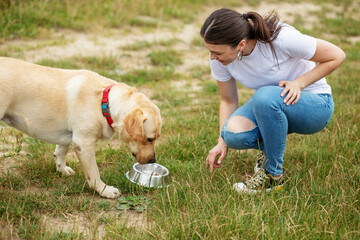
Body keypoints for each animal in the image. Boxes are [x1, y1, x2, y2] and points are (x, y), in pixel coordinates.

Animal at [0, 56, 161, 199]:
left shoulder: (68, 136)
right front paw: (105, 190)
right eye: (149, 139)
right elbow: (94, 173)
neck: (104, 103)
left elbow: (60, 152)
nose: (153, 160)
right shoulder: (84, 144)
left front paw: (61, 169)